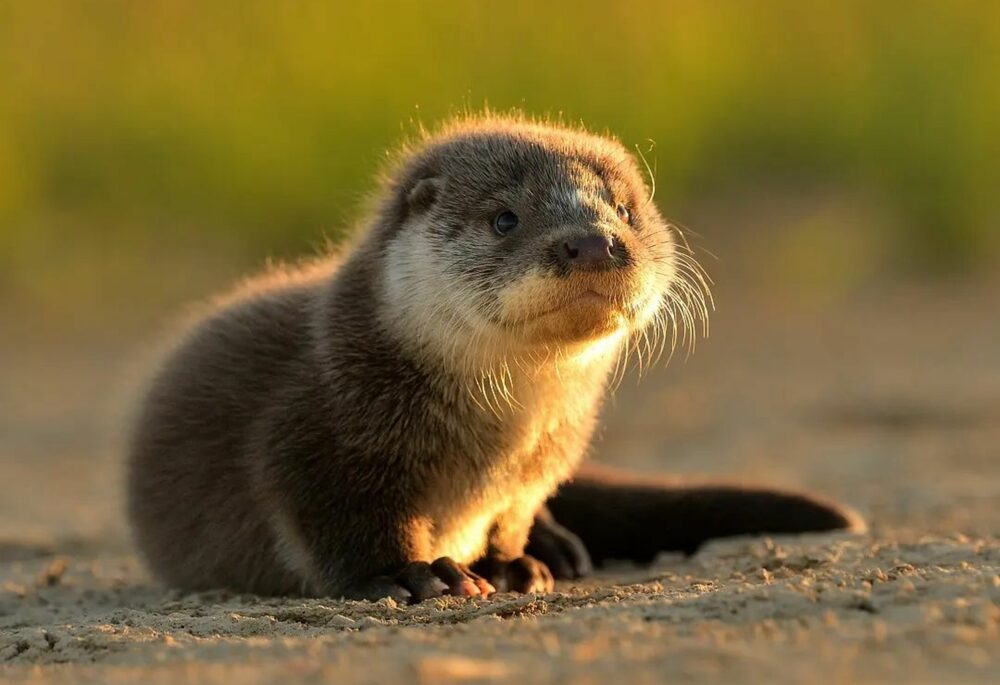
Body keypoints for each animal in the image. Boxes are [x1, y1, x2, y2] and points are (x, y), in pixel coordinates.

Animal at [127, 115, 862, 602]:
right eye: (505, 218)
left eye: (624, 210)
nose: (593, 242)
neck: (501, 440)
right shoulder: (315, 431)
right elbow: (342, 519)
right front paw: (408, 573)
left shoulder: (539, 465)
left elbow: (510, 516)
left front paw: (513, 563)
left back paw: (556, 545)